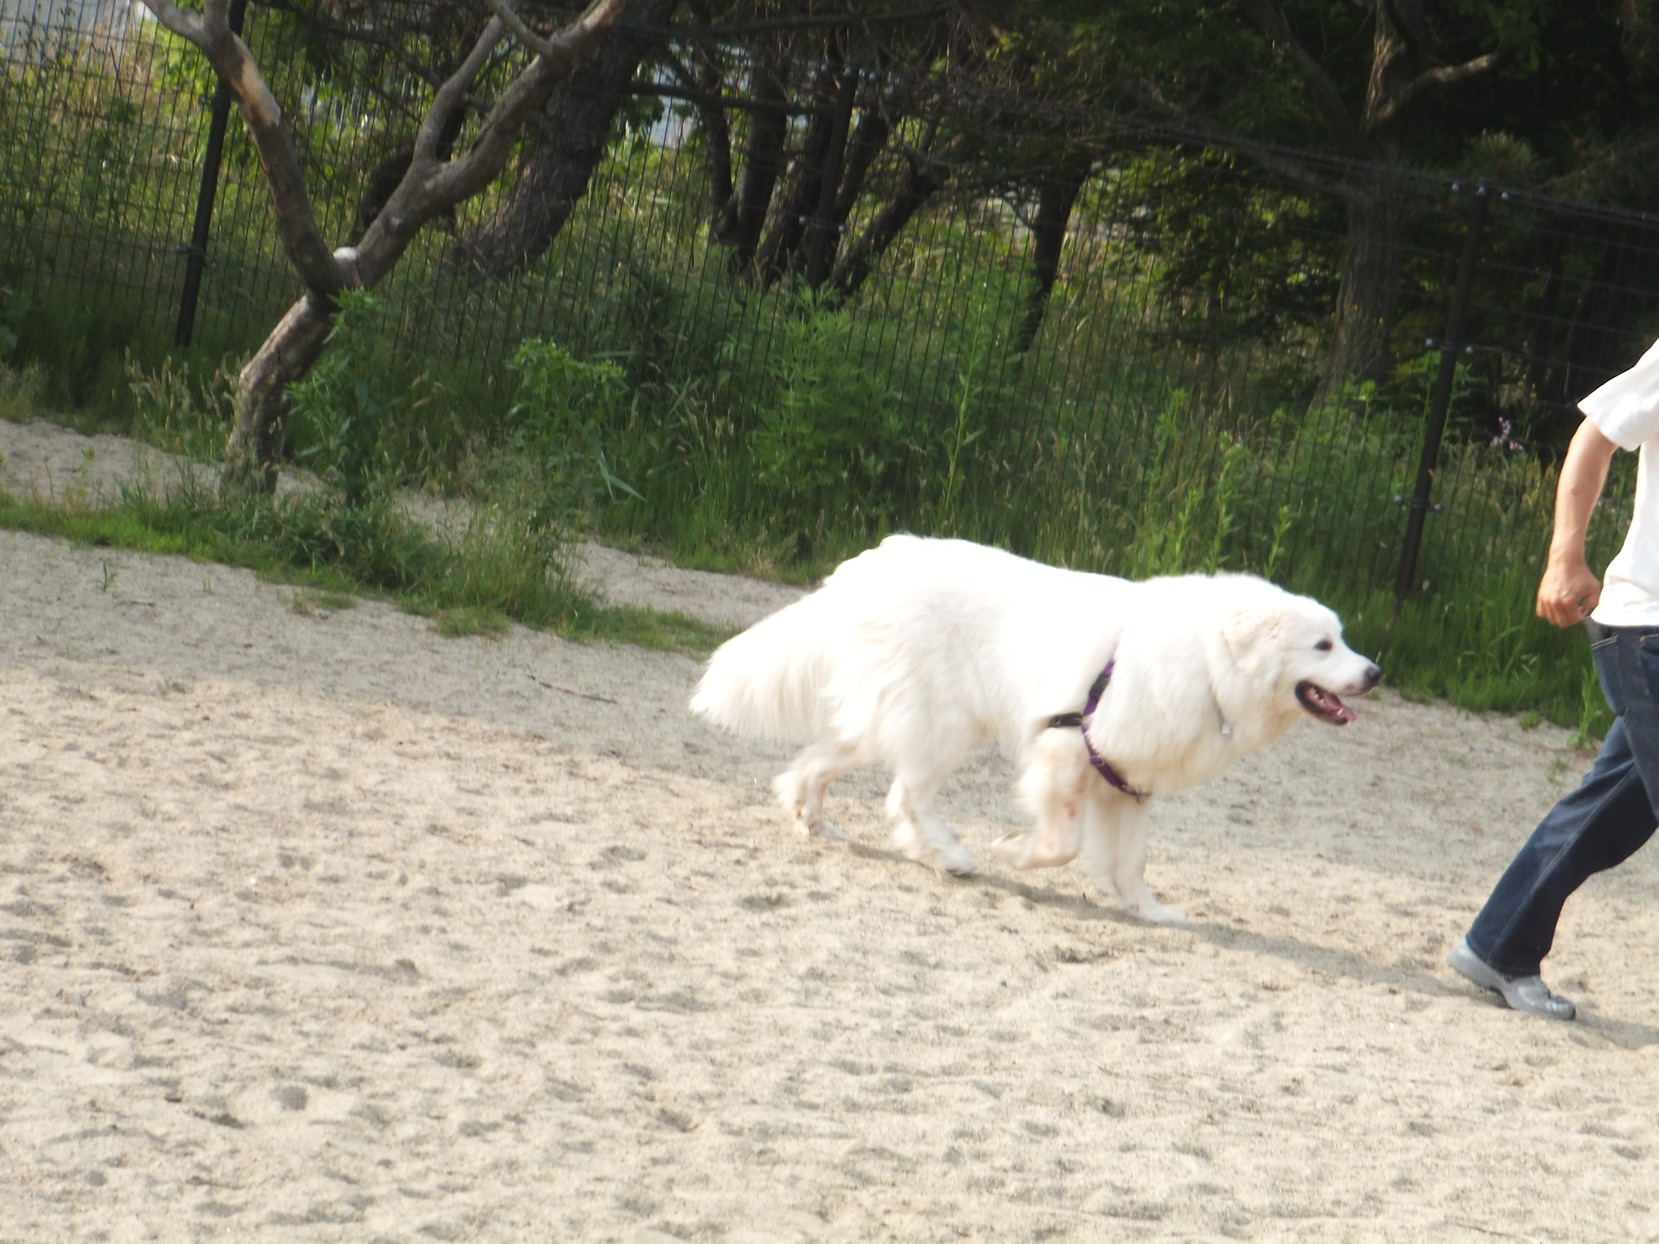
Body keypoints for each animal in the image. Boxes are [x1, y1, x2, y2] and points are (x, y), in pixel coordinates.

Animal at [690, 535, 1380, 924]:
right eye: (1323, 645)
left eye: (1343, 639)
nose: (1374, 673)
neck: (1211, 660)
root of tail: (864, 572)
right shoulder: (1069, 748)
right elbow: (1064, 844)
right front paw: (1013, 852)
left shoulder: (1130, 784)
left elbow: (1131, 862)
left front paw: (1151, 912)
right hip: (943, 725)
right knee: (905, 795)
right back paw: (951, 856)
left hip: (894, 718)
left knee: (821, 759)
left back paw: (811, 818)